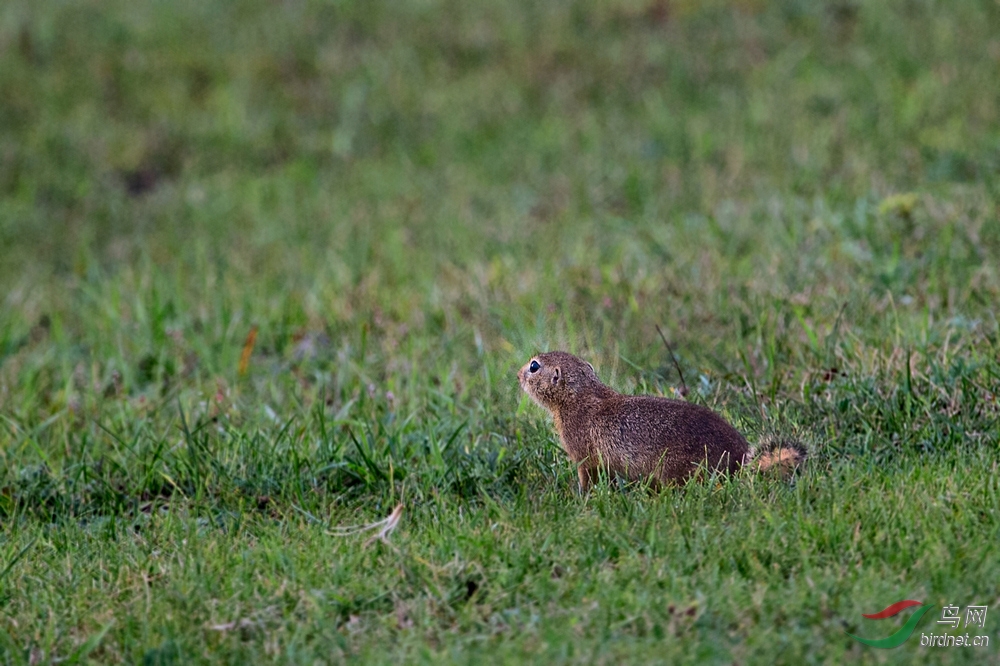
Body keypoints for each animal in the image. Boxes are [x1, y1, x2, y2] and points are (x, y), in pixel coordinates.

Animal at [516, 352, 804, 488]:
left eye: (534, 366)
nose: (517, 374)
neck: (583, 395)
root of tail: (741, 460)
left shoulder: (583, 454)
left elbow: (588, 477)